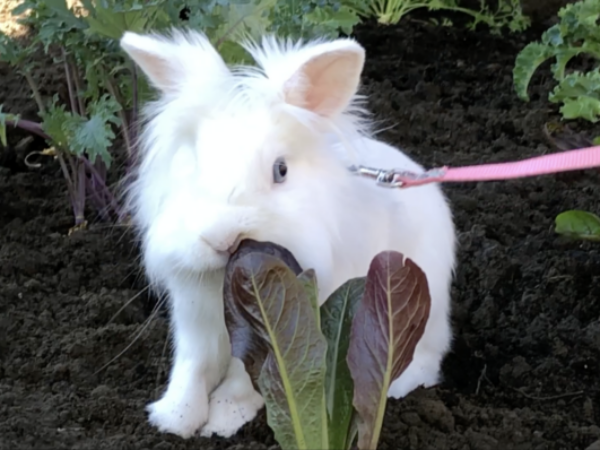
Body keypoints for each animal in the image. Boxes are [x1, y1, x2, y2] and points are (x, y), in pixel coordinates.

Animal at [119, 29, 458, 440]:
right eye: (195, 162)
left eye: (280, 170)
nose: (223, 239)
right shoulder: (195, 321)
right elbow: (193, 367)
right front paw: (173, 418)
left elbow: (246, 377)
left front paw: (223, 418)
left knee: (427, 357)